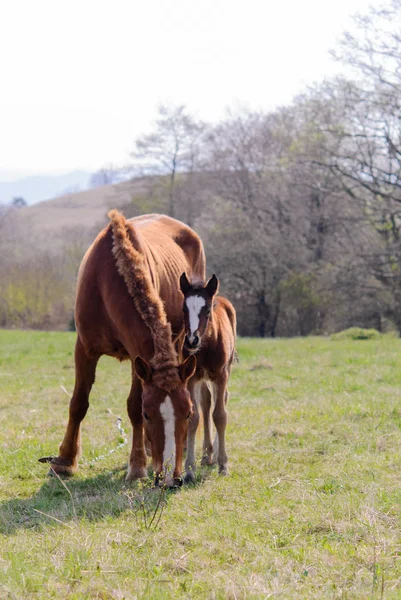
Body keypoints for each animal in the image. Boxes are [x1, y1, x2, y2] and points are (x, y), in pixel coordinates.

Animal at [41, 211, 206, 488]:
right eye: (149, 415)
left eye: (188, 413)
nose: (171, 479)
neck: (109, 277)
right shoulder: (84, 349)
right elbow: (79, 403)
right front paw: (64, 461)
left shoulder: (137, 357)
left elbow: (132, 406)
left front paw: (137, 465)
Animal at [177, 274, 234, 480]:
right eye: (184, 309)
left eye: (208, 311)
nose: (191, 341)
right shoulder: (192, 377)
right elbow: (194, 416)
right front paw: (189, 469)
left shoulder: (220, 375)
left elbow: (220, 415)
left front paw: (223, 463)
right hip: (202, 378)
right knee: (207, 401)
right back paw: (206, 454)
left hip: (226, 370)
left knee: (222, 399)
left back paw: (215, 453)